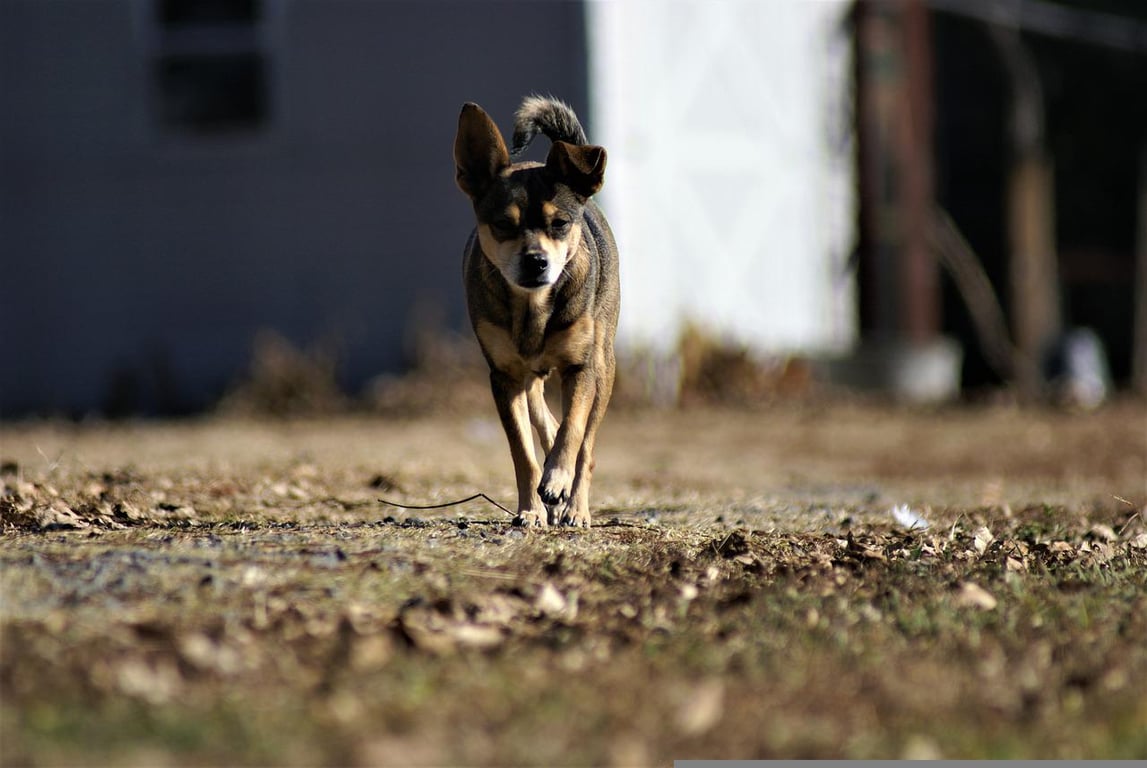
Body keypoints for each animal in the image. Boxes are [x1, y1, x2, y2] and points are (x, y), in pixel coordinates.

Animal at [454, 96, 619, 529]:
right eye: (502, 225)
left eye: (560, 223)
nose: (536, 261)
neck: (533, 308)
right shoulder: (505, 376)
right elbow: (523, 453)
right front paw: (530, 509)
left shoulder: (581, 367)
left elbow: (574, 432)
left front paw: (558, 481)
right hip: (528, 374)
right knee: (543, 414)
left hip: (604, 364)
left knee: (585, 445)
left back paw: (575, 507)